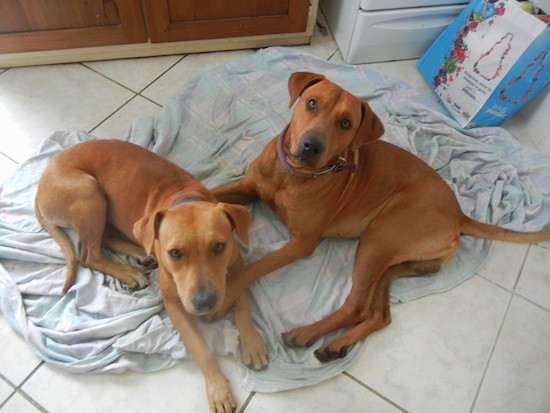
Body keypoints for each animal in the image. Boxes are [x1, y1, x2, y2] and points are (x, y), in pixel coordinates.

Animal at [35, 139, 270, 412]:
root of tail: (43, 180)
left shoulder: (238, 267)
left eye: (219, 247)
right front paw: (218, 390)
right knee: (89, 254)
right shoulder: (174, 305)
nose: (204, 303)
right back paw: (129, 272)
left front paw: (251, 342)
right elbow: (201, 351)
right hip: (89, 193)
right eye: (175, 253)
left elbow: (241, 298)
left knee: (105, 239)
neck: (185, 199)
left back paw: (140, 254)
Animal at [212, 72, 550, 362]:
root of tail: (458, 215)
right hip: (394, 263)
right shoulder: (246, 189)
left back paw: (307, 334)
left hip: (378, 238)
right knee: (379, 314)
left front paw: (226, 295)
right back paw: (337, 344)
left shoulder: (301, 243)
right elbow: (214, 195)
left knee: (356, 305)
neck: (292, 175)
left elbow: (254, 268)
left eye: (346, 123)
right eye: (312, 103)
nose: (311, 146)